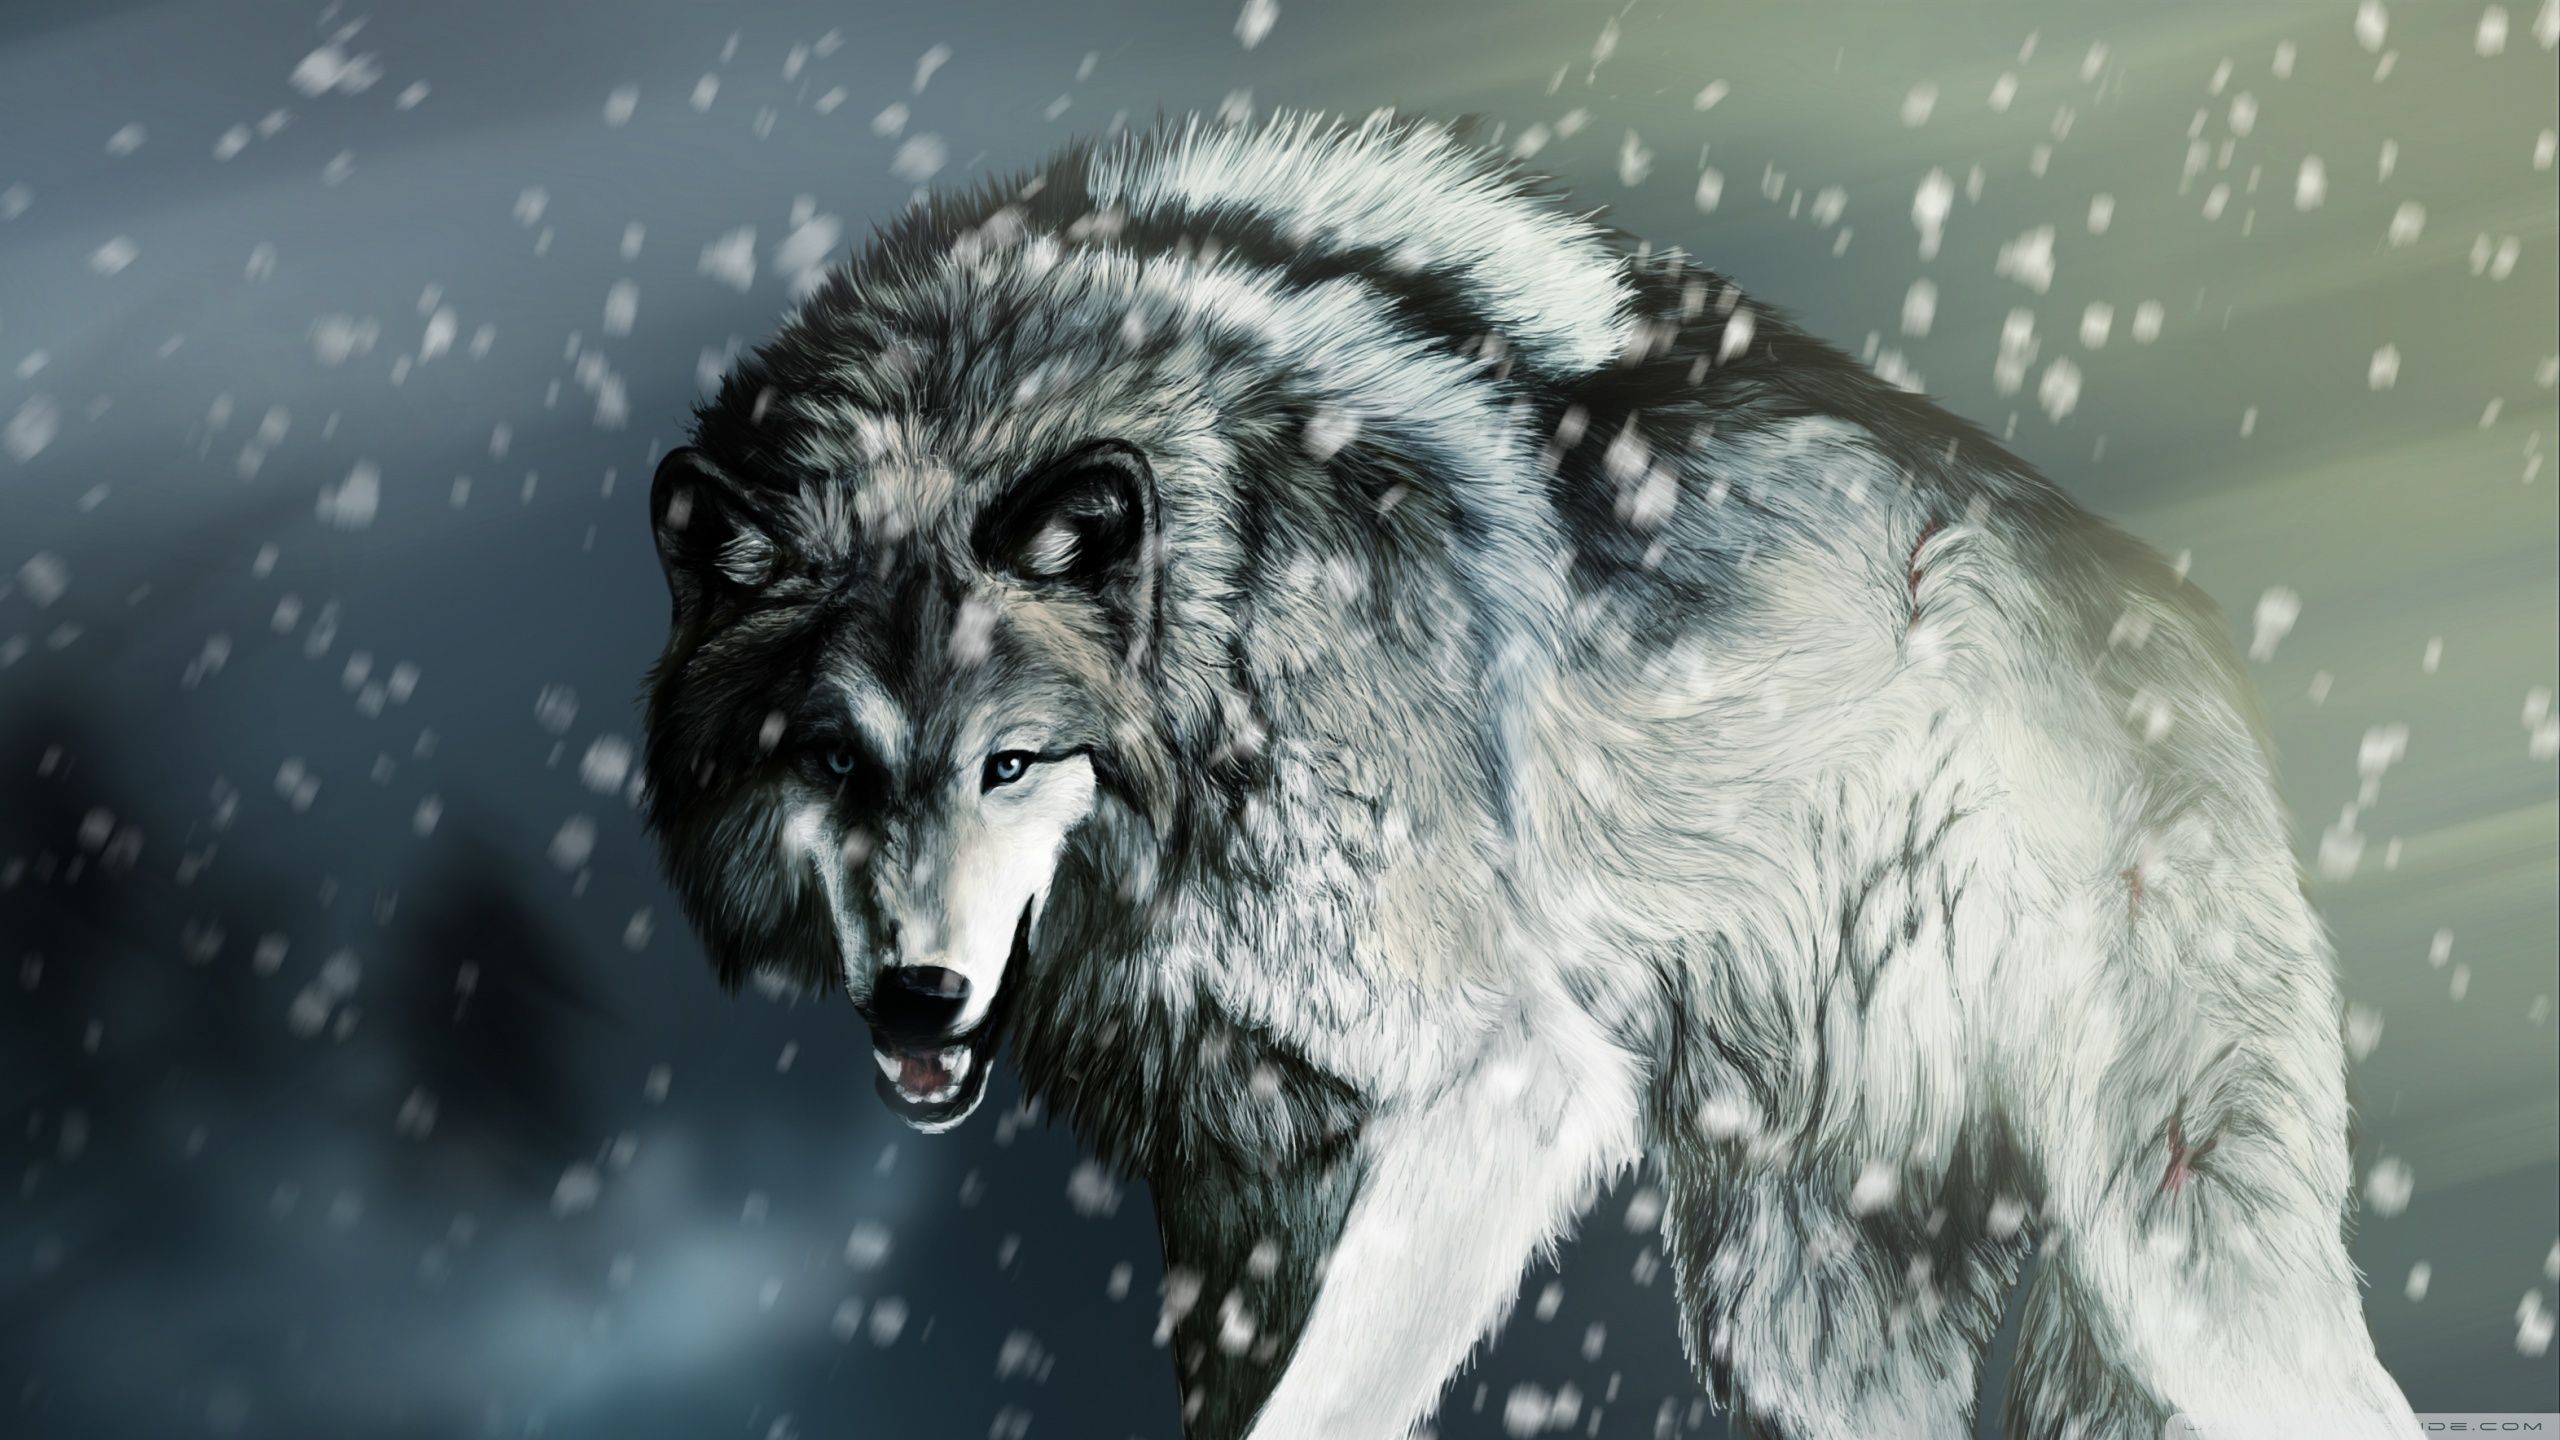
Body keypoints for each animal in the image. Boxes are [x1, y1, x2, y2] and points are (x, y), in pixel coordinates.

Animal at [638, 112, 2416, 1439]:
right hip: (1797, 1317)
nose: (919, 997)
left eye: (1013, 761)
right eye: (831, 759)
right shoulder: (1239, 1194)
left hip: (2170, 1257)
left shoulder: (1504, 1087)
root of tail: (2173, 613)